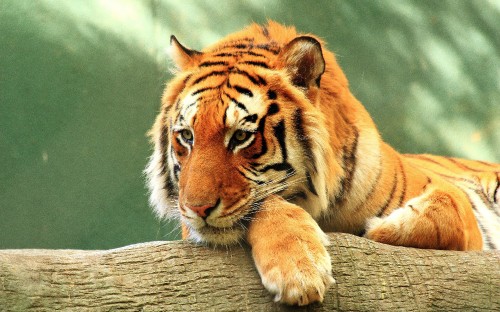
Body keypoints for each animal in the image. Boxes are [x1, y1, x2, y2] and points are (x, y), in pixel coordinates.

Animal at [146, 21, 500, 304]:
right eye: (187, 136)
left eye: (241, 136)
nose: (196, 209)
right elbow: (267, 204)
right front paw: (299, 271)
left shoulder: (449, 198)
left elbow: (447, 209)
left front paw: (378, 228)